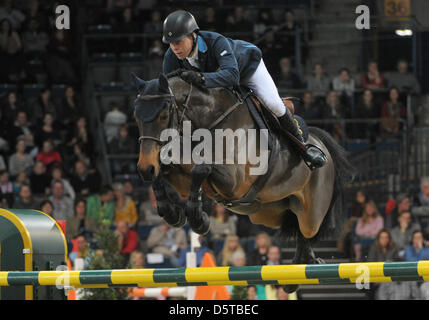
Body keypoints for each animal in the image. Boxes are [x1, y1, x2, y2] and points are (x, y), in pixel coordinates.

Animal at [132, 72, 352, 292]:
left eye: (163, 115)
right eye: (136, 116)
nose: (144, 168)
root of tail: (320, 142)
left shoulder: (234, 182)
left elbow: (201, 168)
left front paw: (198, 219)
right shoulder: (182, 178)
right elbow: (166, 169)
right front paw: (172, 212)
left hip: (311, 212)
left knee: (306, 229)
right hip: (268, 213)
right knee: (296, 227)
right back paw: (299, 269)